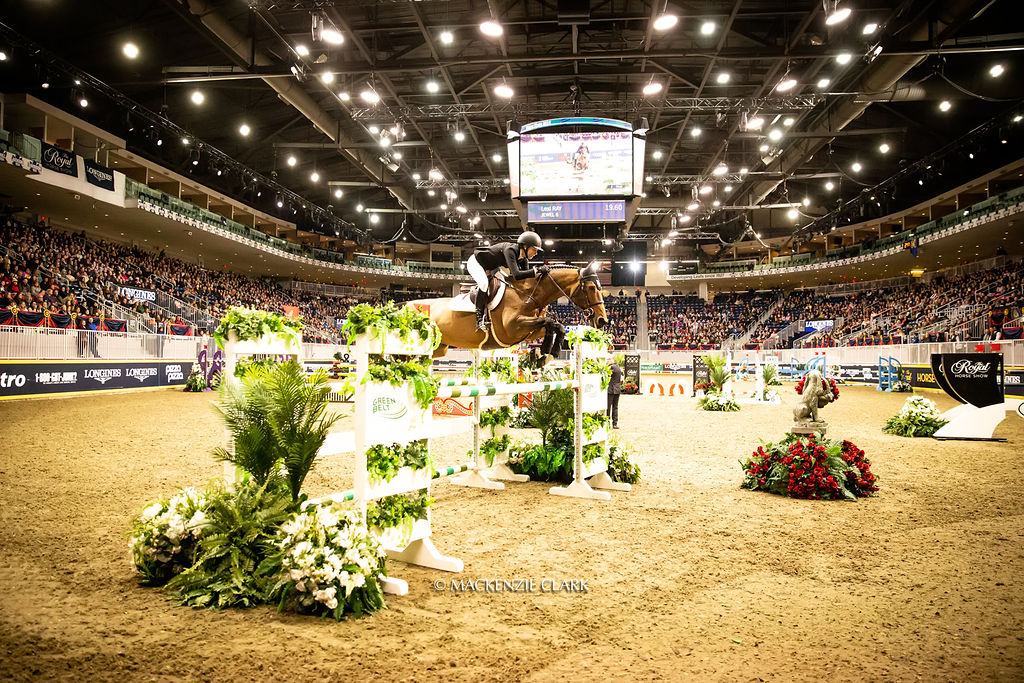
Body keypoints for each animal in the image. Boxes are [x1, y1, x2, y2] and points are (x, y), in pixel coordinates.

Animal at [411, 264, 606, 358]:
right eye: (591, 288)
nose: (602, 320)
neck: (527, 293)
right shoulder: (512, 328)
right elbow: (551, 322)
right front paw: (546, 350)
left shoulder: (529, 331)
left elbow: (555, 325)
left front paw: (548, 353)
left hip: (439, 348)